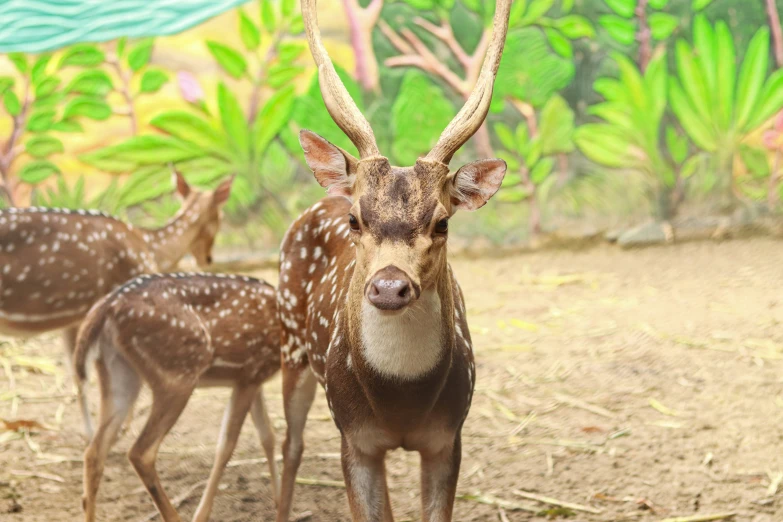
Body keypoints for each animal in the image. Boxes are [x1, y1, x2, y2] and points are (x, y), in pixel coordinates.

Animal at [0, 172, 233, 434]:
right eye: (221, 216)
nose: (208, 259)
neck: (151, 248)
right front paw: (115, 428)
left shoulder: (75, 318)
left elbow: (77, 374)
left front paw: (93, 431)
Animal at [74, 270, 282, 520]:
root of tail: (105, 307)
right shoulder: (250, 373)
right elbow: (227, 445)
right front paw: (201, 515)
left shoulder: (254, 377)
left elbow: (268, 436)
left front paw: (281, 506)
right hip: (177, 376)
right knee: (140, 452)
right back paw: (174, 515)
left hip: (119, 373)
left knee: (94, 452)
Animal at [278, 1, 516, 520]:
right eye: (355, 219)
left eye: (442, 222)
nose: (389, 286)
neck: (400, 402)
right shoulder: (354, 438)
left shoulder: (448, 436)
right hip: (290, 344)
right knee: (290, 445)